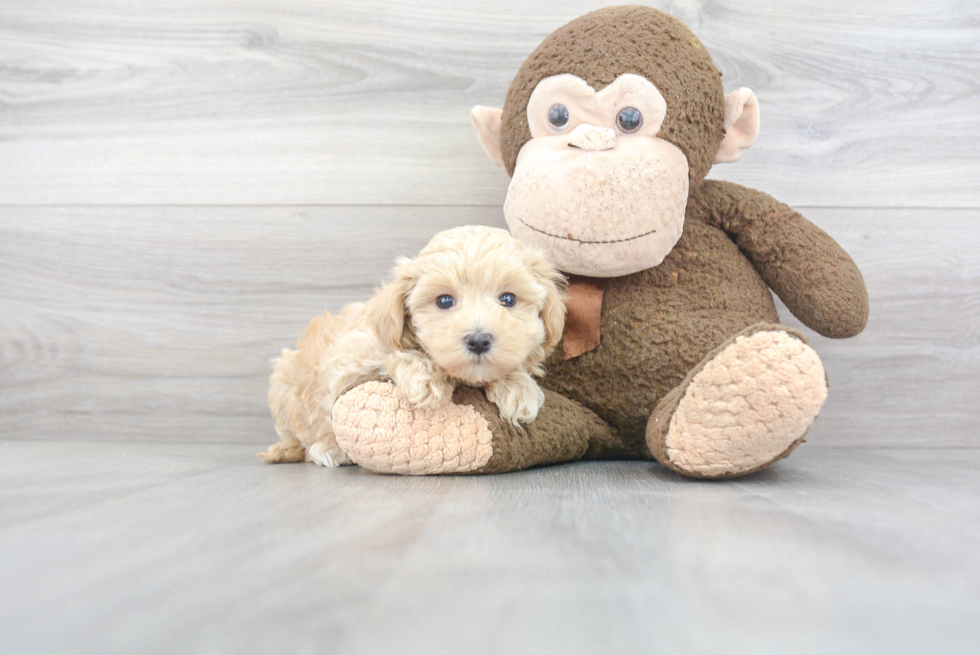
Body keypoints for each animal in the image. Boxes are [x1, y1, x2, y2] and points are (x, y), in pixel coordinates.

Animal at [260, 226, 568, 466]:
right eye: (444, 301)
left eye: (508, 299)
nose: (479, 340)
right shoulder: (349, 359)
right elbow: (391, 355)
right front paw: (425, 377)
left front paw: (518, 387)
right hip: (283, 387)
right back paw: (323, 450)